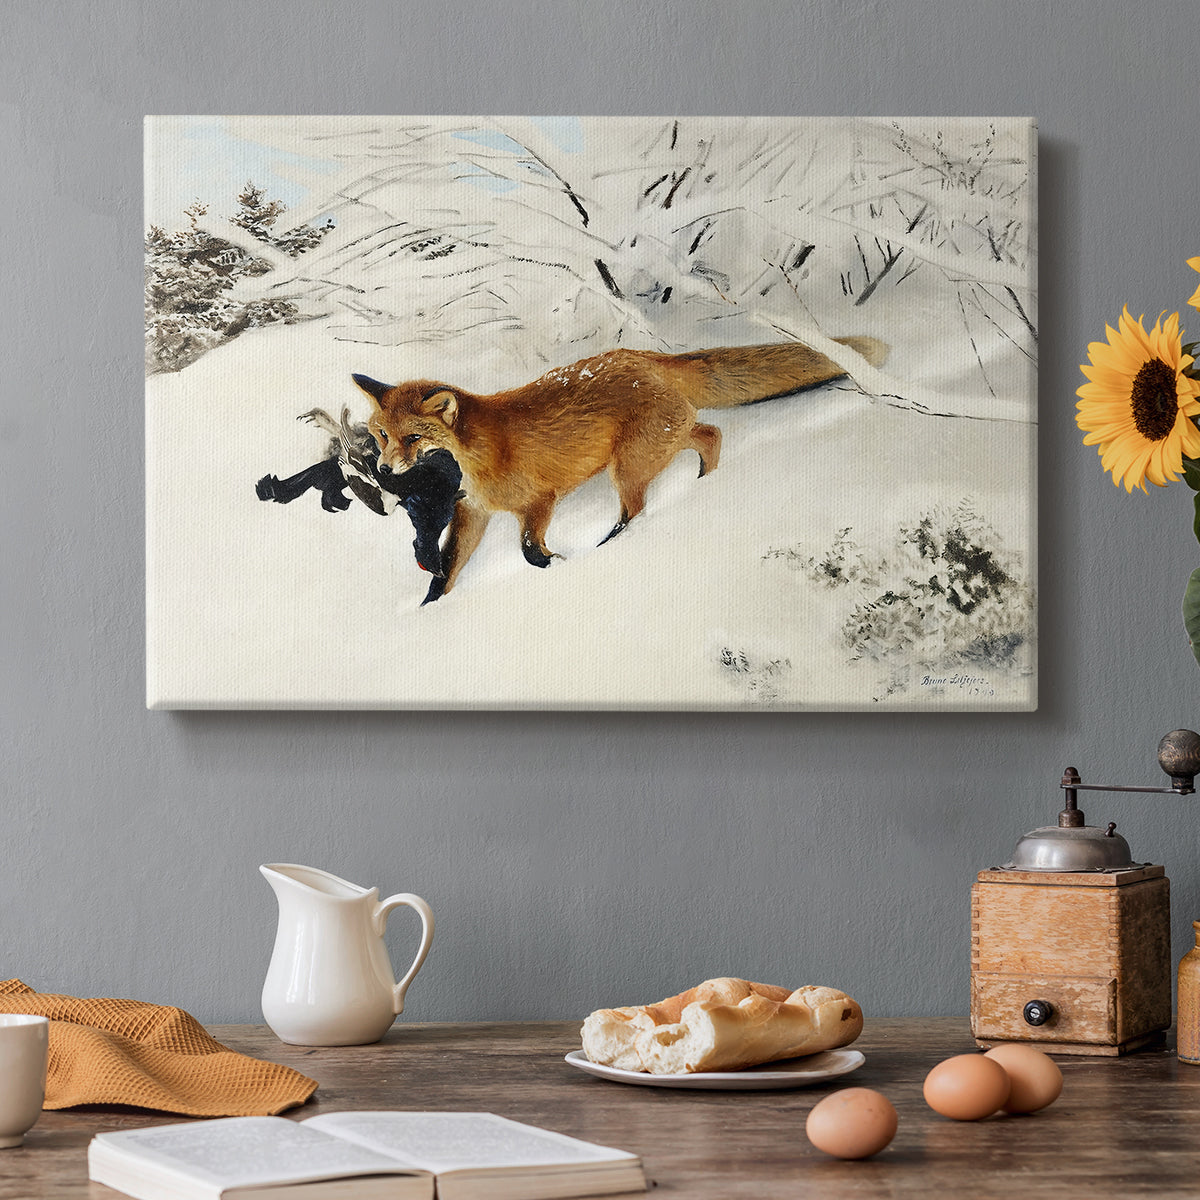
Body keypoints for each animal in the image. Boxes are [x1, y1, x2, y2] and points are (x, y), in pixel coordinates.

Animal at [353, 336, 887, 603]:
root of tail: (646, 357)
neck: (479, 456)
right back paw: (704, 483)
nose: (384, 468)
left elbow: (529, 551)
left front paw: (558, 565)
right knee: (710, 434)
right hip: (658, 445)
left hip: (628, 467)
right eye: (381, 434)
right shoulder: (473, 513)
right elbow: (447, 569)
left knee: (639, 507)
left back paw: (614, 543)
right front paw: (430, 608)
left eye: (412, 438)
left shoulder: (539, 501)